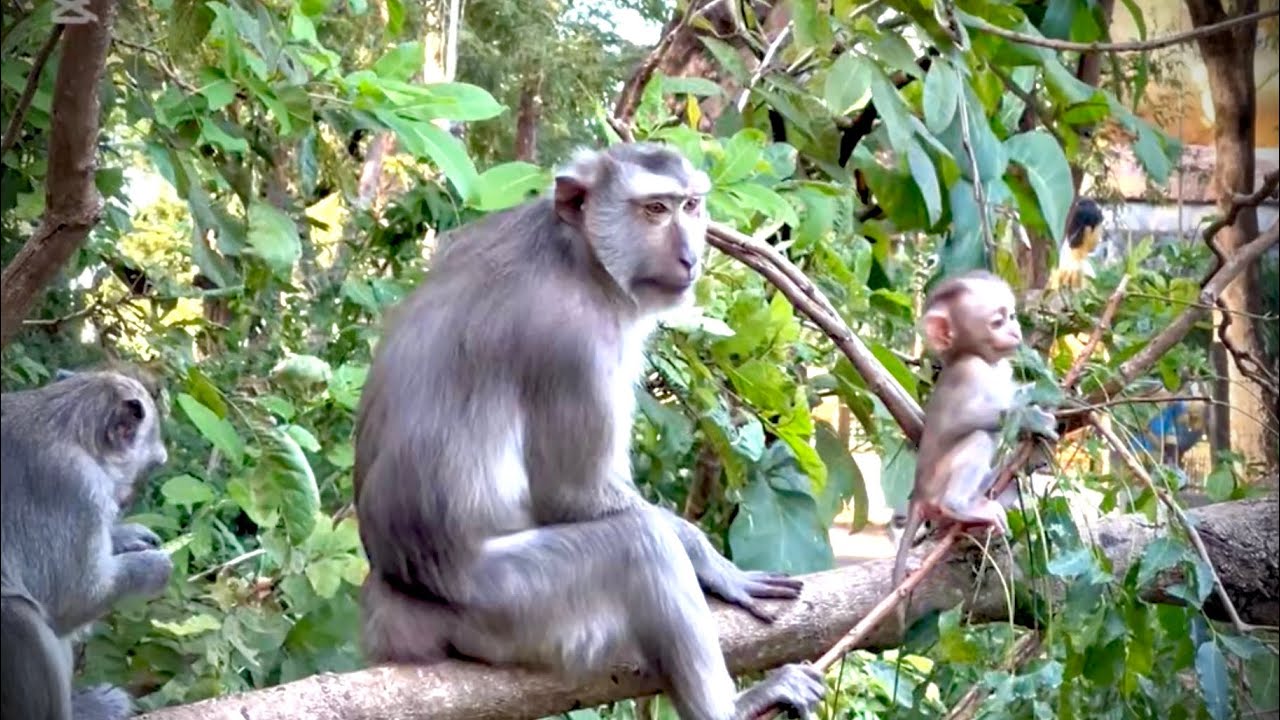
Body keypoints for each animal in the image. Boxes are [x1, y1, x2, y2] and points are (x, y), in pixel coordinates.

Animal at [1, 368, 173, 720]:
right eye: (150, 467)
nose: (127, 500)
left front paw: (125, 536)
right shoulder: (75, 488)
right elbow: (72, 600)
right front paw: (154, 567)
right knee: (18, 615)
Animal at [354, 142, 827, 719]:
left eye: (691, 206)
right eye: (654, 210)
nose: (690, 256)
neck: (578, 255)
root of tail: (395, 601)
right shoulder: (574, 344)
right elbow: (574, 495)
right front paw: (708, 559)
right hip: (504, 602)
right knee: (638, 543)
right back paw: (733, 708)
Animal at [890, 271, 1057, 621]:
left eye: (1011, 316)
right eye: (997, 321)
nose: (1014, 330)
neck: (985, 361)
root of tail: (919, 495)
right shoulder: (970, 373)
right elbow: (968, 419)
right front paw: (1034, 419)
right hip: (938, 485)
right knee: (979, 437)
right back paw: (959, 505)